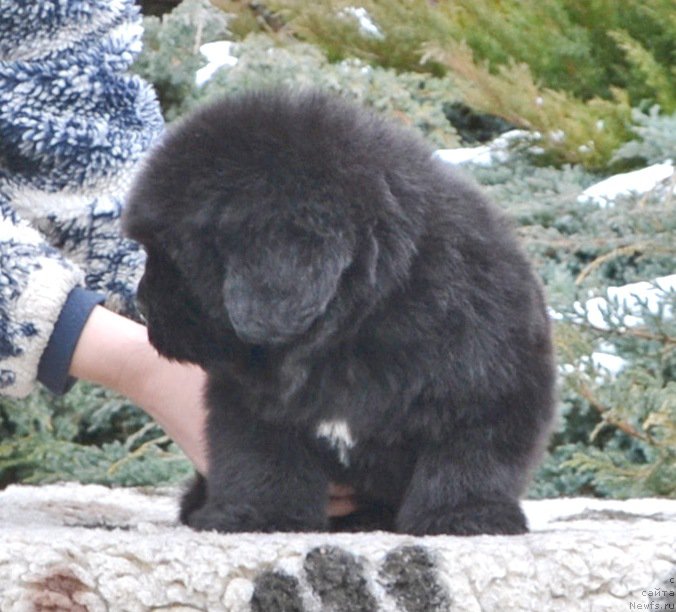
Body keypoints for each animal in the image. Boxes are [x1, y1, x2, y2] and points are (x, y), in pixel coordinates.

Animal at [123, 88, 556, 532]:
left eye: (176, 257)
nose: (141, 305)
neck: (353, 330)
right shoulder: (250, 403)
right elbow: (261, 459)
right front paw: (261, 515)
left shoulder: (488, 388)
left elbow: (466, 459)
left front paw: (461, 518)